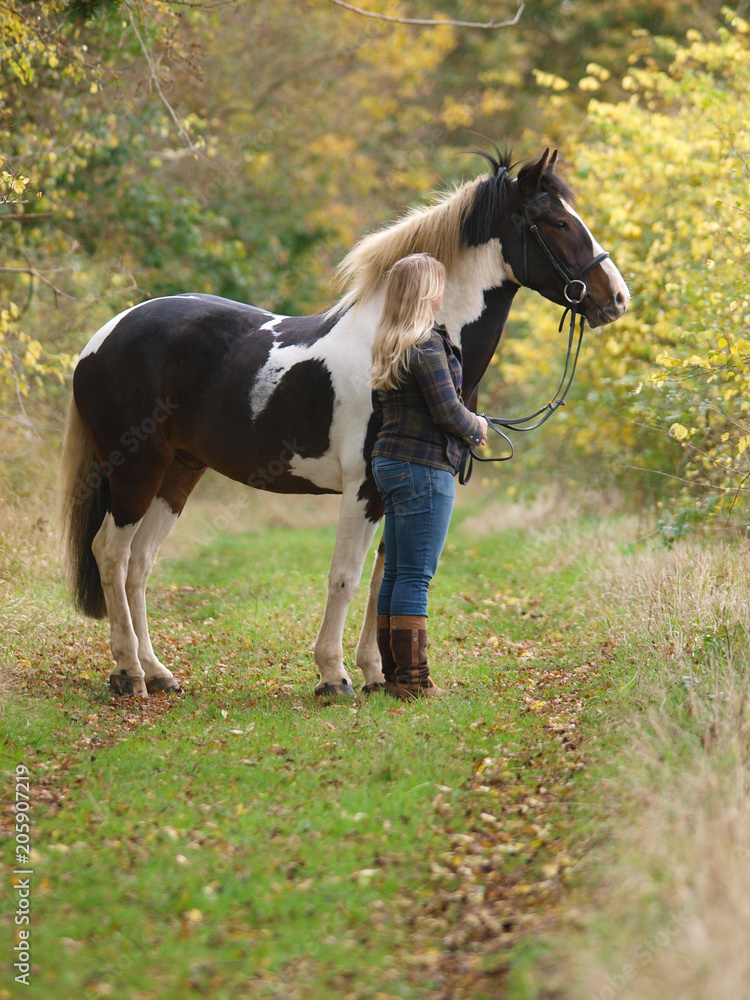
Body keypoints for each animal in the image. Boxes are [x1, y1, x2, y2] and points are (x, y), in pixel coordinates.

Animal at [59, 147, 629, 699]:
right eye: (557, 221)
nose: (618, 298)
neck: (400, 334)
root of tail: (103, 337)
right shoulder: (366, 487)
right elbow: (346, 578)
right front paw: (334, 677)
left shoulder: (399, 490)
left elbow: (384, 579)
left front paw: (377, 674)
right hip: (136, 470)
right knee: (111, 554)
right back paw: (128, 675)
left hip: (177, 472)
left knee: (138, 564)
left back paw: (158, 673)